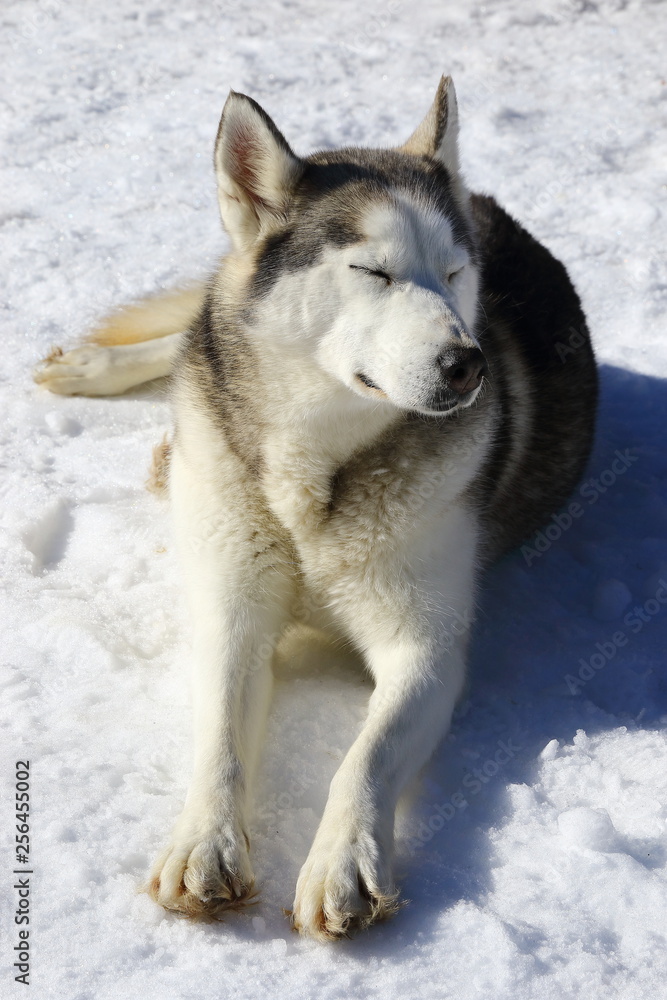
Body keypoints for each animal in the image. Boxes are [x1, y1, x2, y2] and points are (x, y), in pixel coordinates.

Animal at [35, 78, 600, 936]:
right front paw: (205, 844)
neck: (312, 471)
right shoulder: (231, 604)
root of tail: (486, 199)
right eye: (372, 271)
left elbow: (364, 756)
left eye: (453, 272)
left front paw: (344, 863)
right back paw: (108, 374)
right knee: (191, 336)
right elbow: (221, 737)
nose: (465, 364)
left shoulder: (424, 650)